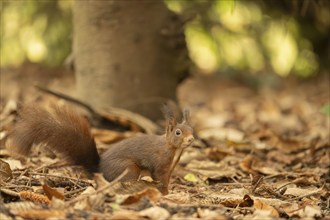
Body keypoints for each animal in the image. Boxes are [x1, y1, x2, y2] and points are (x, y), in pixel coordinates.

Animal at [10, 105, 195, 194]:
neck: (168, 146)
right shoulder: (159, 163)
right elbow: (160, 178)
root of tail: (99, 169)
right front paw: (165, 193)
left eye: (192, 129)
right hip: (129, 169)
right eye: (178, 132)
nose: (191, 139)